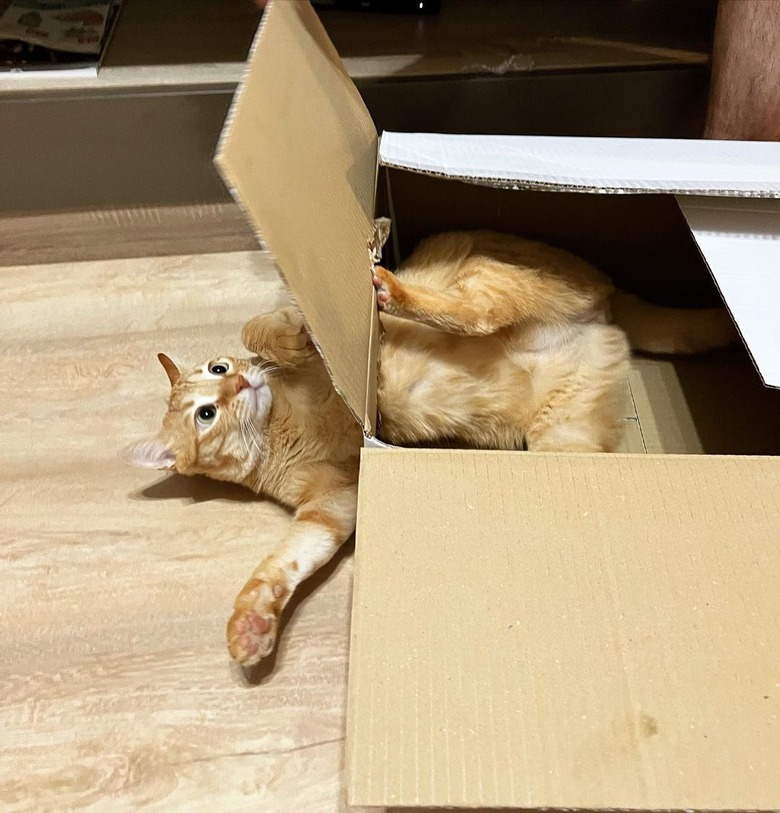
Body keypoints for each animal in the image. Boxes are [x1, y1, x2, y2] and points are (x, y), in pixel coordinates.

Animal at [128, 228, 736, 668]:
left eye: (218, 370)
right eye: (205, 414)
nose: (237, 385)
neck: (280, 432)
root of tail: (608, 313)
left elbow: (261, 328)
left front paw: (293, 333)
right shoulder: (333, 507)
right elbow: (283, 563)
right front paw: (252, 624)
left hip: (483, 269)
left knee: (475, 313)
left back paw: (388, 287)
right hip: (564, 441)